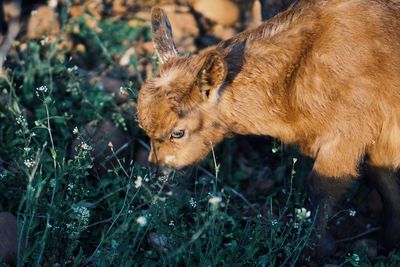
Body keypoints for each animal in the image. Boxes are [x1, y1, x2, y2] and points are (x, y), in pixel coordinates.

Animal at [137, 0, 400, 255]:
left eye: (178, 133)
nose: (156, 172)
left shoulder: (348, 134)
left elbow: (321, 186)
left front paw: (315, 249)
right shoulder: (380, 139)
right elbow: (384, 179)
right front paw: (390, 238)